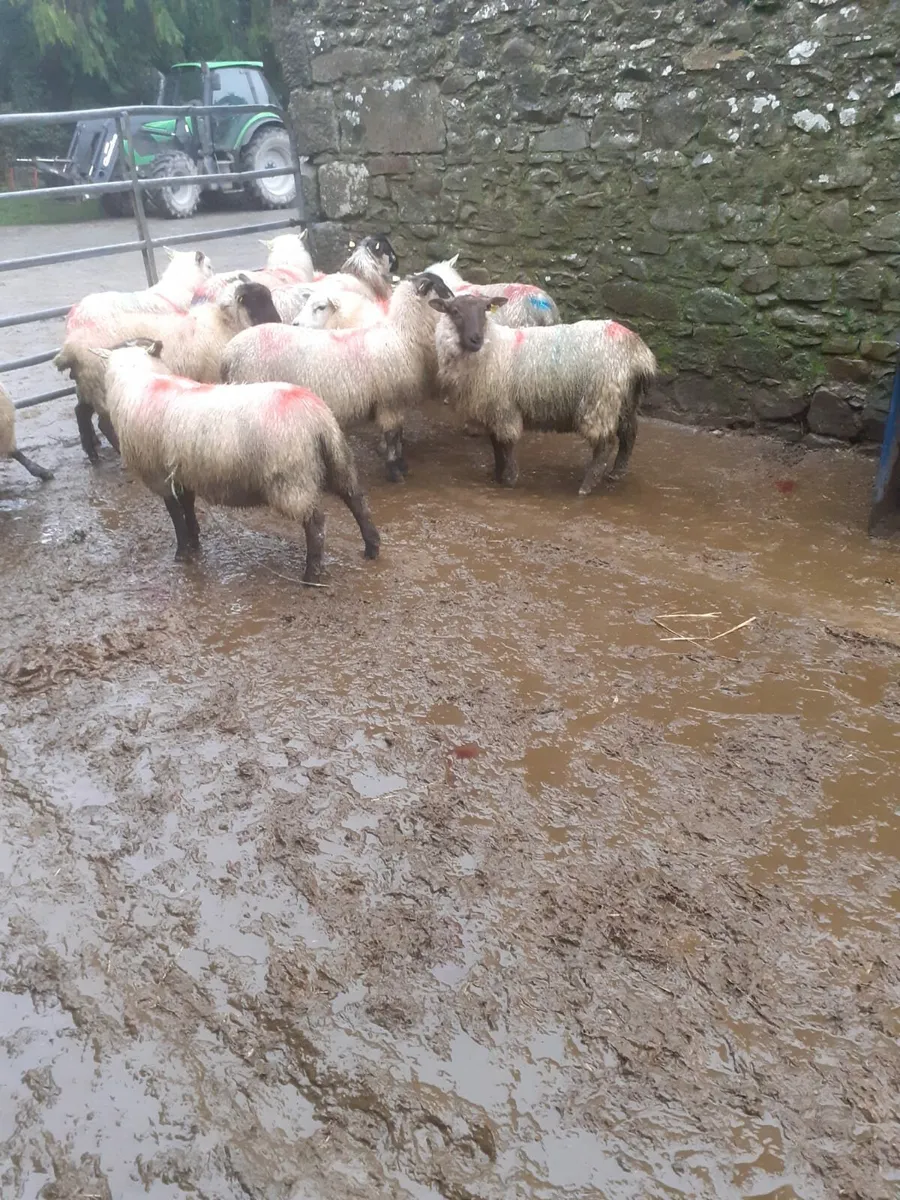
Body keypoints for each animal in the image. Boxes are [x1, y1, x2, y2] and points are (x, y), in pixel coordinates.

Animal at [56, 280, 281, 461]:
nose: (279, 323)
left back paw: (92, 454)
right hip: (101, 388)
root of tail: (70, 348)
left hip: (88, 385)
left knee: (81, 412)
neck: (224, 323)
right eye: (258, 301)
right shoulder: (211, 377)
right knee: (104, 423)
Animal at [96, 340, 380, 582]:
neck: (141, 381)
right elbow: (188, 506)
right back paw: (372, 546)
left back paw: (311, 574)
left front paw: (182, 552)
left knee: (316, 523)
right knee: (356, 500)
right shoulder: (181, 471)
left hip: (291, 478)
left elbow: (175, 513)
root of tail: (317, 416)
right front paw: (195, 542)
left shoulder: (158, 474)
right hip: (336, 459)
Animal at [222, 272, 453, 482]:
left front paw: (401, 464)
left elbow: (396, 436)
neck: (403, 335)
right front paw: (395, 469)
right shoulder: (389, 401)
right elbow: (391, 435)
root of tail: (229, 353)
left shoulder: (394, 401)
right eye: (439, 287)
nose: (454, 297)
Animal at [431, 293, 656, 495]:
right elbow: (496, 444)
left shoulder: (505, 407)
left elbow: (507, 444)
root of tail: (639, 353)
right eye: (455, 311)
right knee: (629, 434)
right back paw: (617, 472)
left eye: (485, 309)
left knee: (605, 444)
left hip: (600, 400)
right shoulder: (492, 409)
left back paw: (587, 486)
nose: (476, 339)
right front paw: (498, 474)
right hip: (626, 399)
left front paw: (510, 478)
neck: (493, 347)